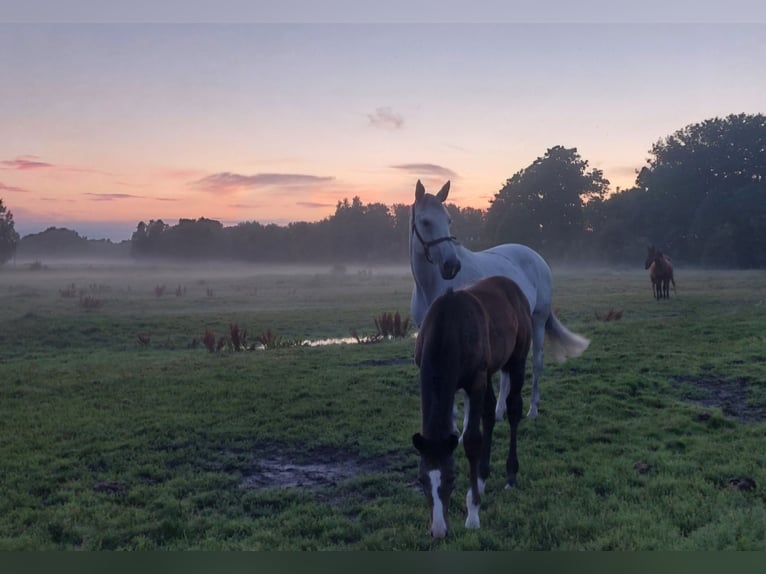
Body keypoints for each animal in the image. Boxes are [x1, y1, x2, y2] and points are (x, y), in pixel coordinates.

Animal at [412, 179, 592, 418]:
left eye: (448, 220)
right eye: (425, 222)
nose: (451, 265)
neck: (431, 287)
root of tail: (536, 257)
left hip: (538, 320)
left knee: (537, 362)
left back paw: (532, 410)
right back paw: (499, 412)